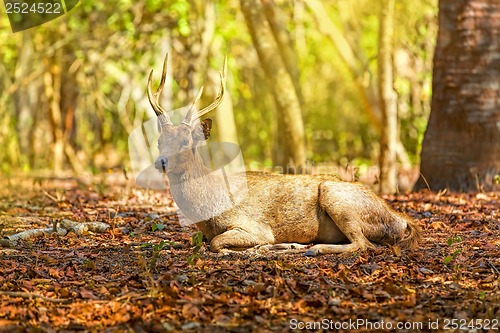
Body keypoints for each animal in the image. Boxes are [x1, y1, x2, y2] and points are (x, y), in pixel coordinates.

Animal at [146, 54, 420, 255]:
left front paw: (254, 249)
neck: (209, 208)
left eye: (186, 141)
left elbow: (216, 243)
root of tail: (401, 220)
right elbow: (199, 239)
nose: (161, 162)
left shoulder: (254, 226)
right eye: (159, 140)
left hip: (337, 196)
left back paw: (312, 248)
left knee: (364, 244)